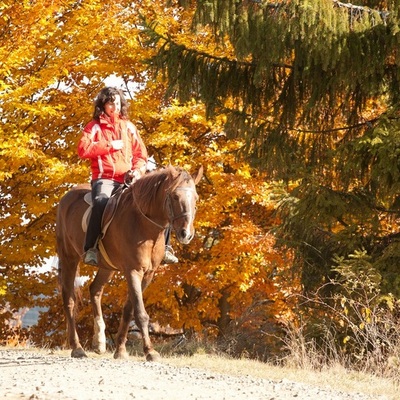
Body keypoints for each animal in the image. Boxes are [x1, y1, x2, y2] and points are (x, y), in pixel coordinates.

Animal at [56, 164, 203, 360]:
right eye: (174, 196)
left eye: (195, 198)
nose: (186, 233)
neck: (143, 225)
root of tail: (67, 197)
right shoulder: (133, 271)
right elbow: (140, 313)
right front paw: (150, 351)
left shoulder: (148, 274)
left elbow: (129, 310)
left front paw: (120, 350)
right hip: (69, 258)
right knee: (69, 299)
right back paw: (77, 348)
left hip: (107, 267)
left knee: (95, 290)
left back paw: (99, 341)